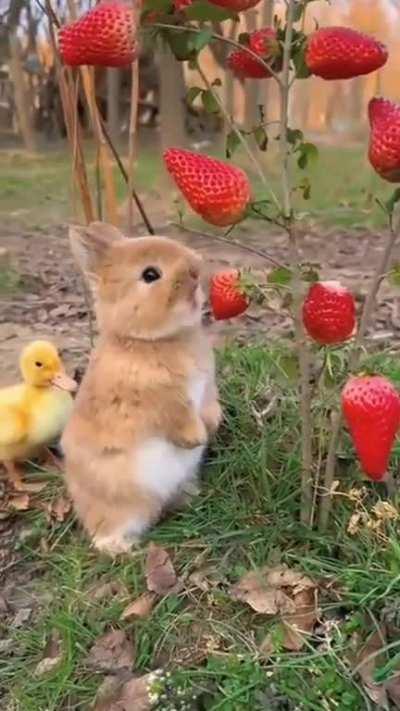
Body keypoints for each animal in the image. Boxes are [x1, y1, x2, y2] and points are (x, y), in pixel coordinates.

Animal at [62, 222, 222, 555]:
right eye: (150, 275)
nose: (196, 269)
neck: (150, 340)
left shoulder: (206, 390)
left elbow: (209, 406)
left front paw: (213, 424)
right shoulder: (163, 402)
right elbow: (179, 419)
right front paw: (198, 438)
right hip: (120, 503)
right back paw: (122, 549)